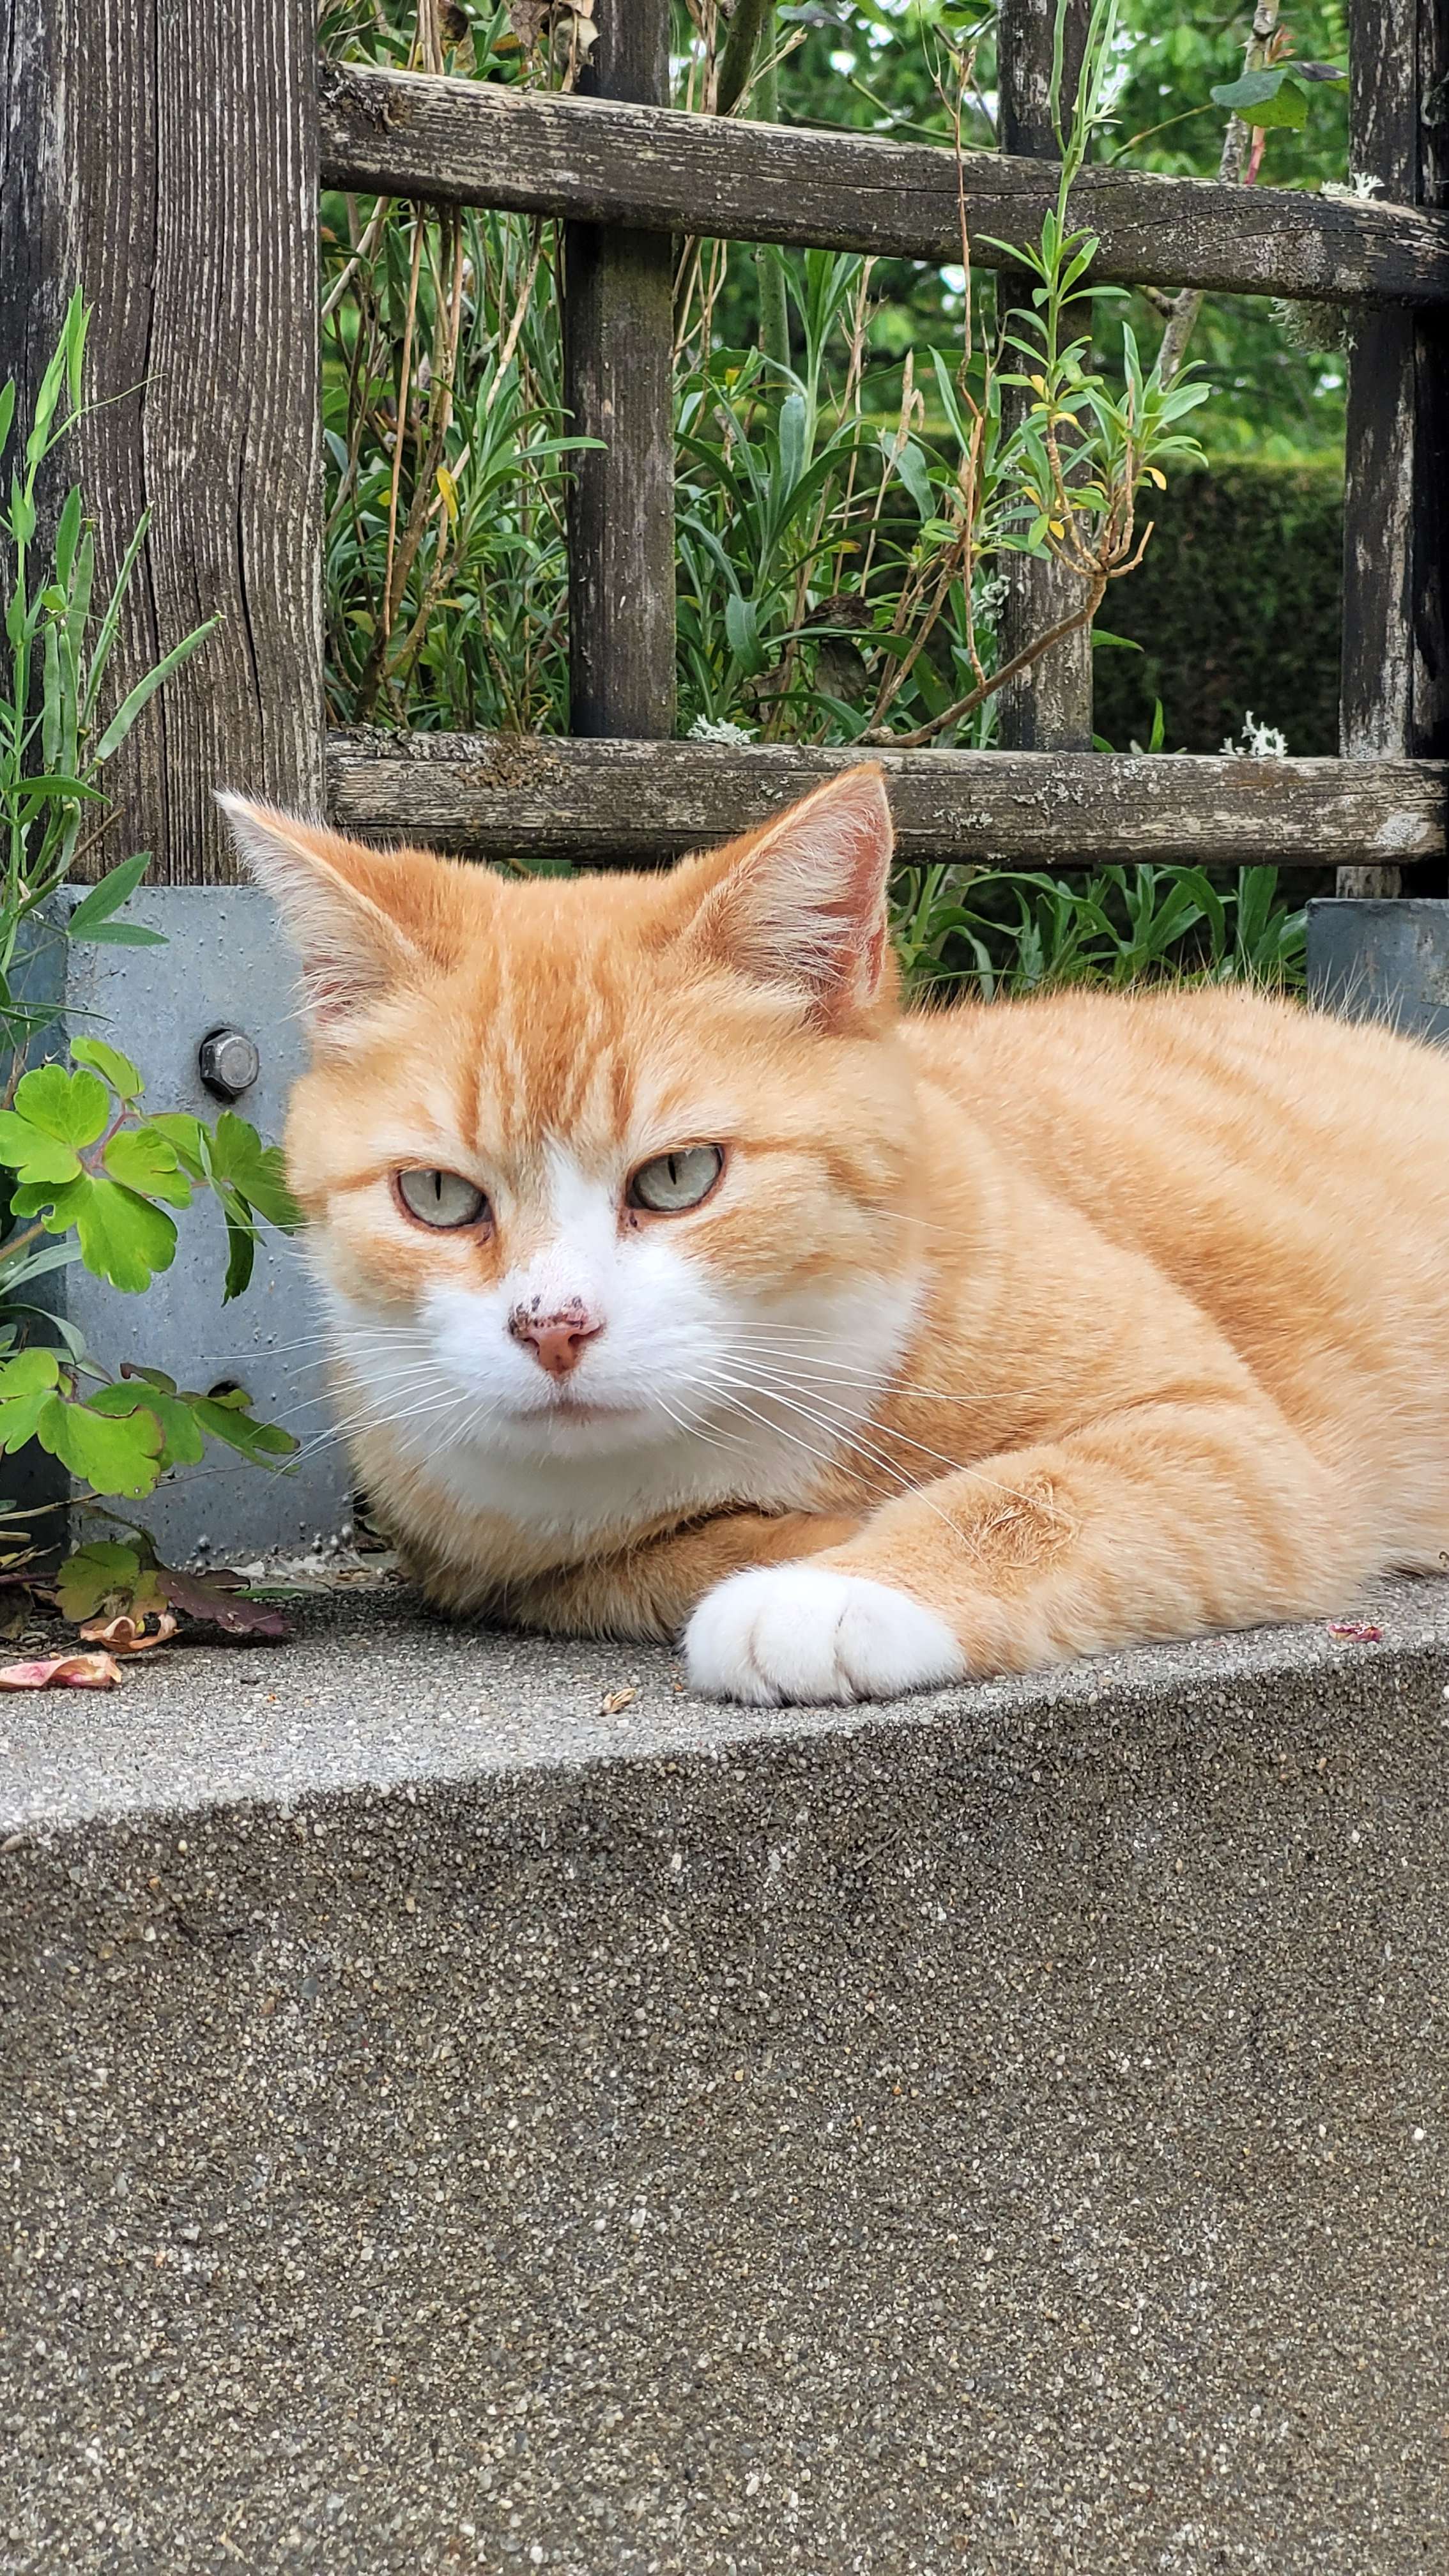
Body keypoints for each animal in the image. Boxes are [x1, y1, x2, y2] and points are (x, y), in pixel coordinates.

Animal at [220, 772, 1443, 1700]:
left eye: (679, 1174)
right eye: (437, 1196)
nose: (553, 1326)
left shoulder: (1227, 1440)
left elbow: (1034, 1494)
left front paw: (834, 1590)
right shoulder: (503, 1562)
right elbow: (661, 1559)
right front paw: (795, 1543)